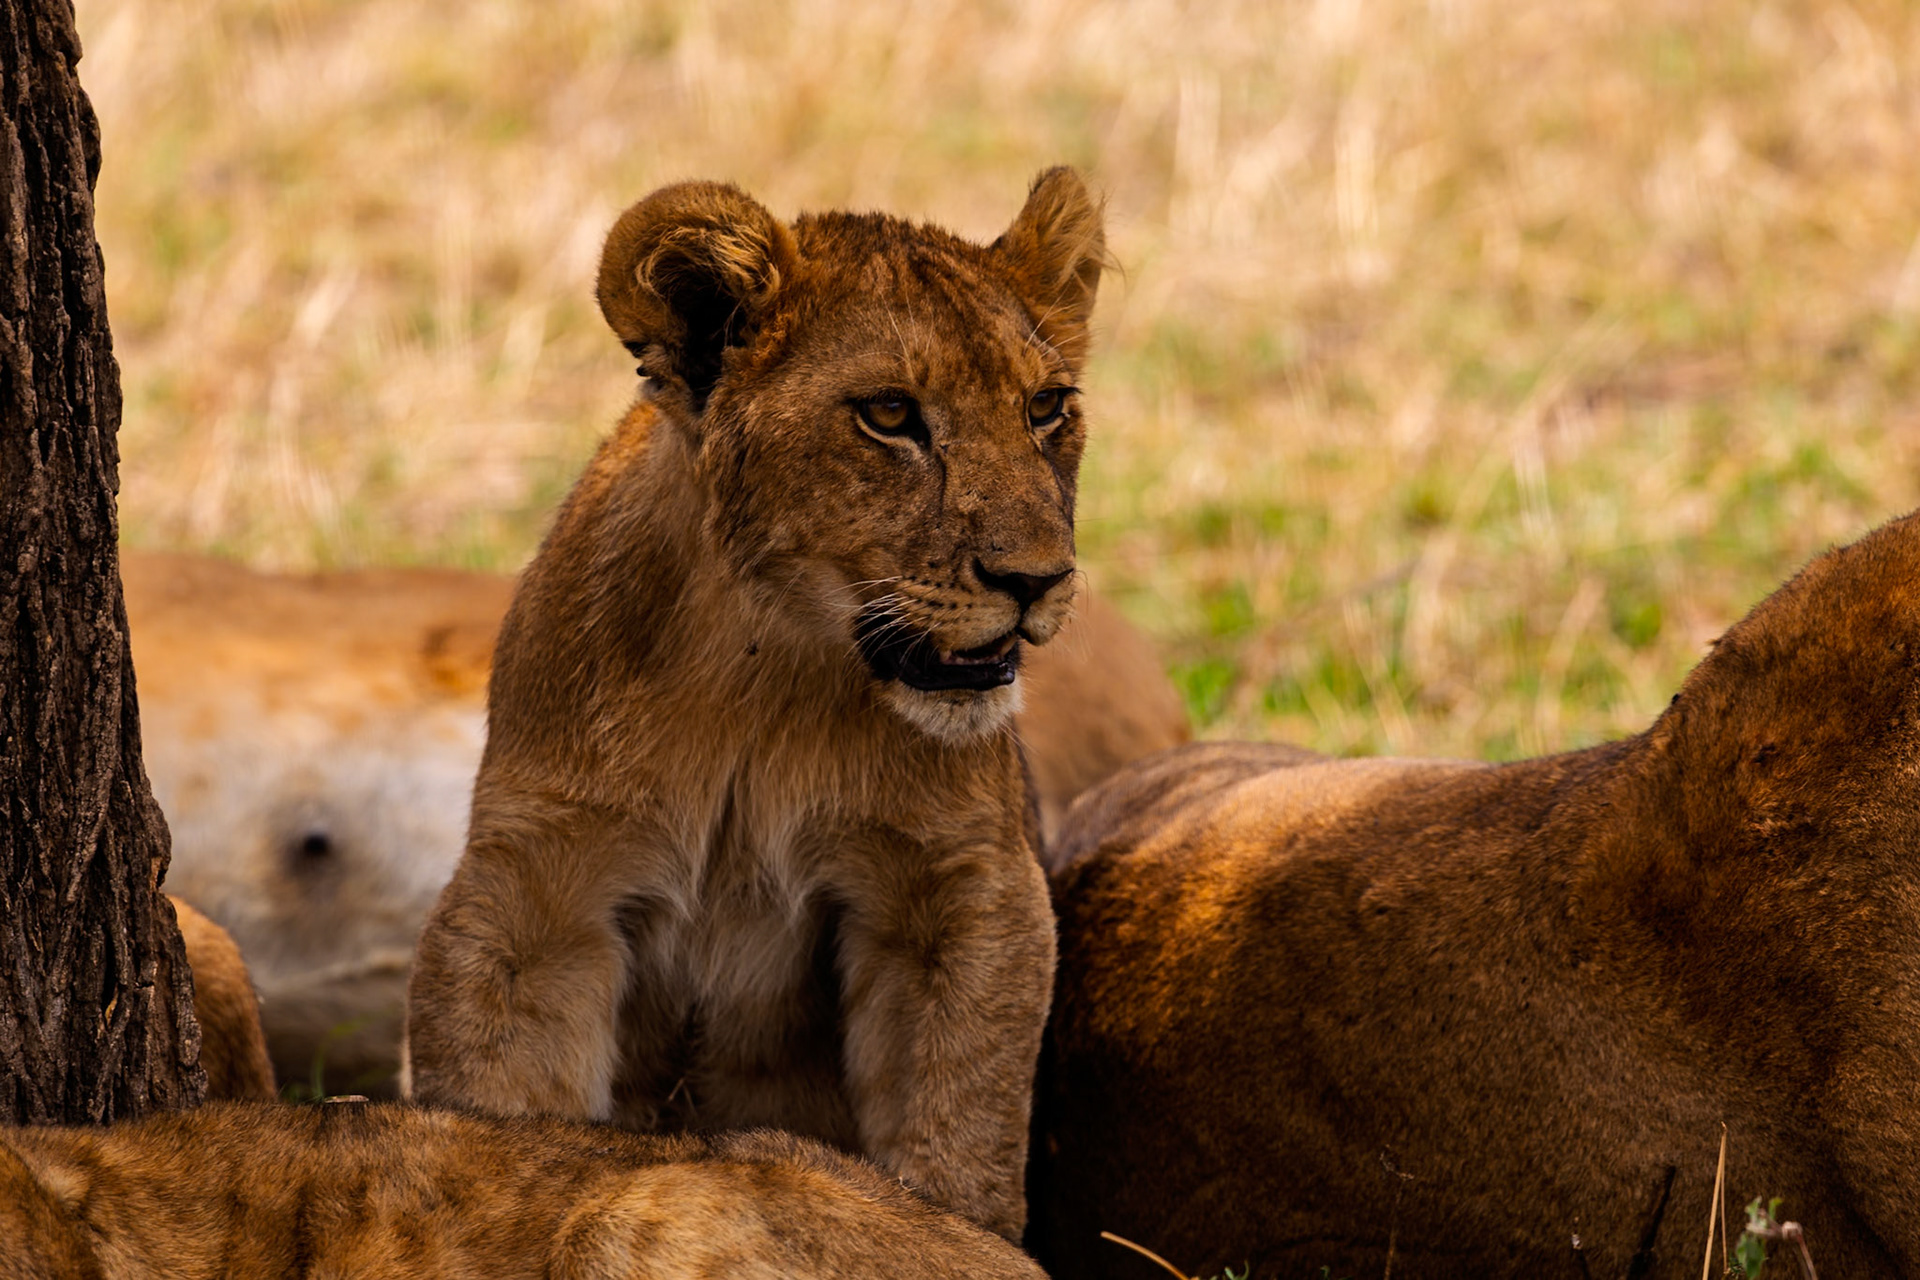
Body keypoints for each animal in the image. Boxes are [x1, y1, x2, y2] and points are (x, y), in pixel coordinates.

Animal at [404, 169, 1111, 1239]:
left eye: (1044, 407)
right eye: (891, 414)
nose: (1038, 580)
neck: (764, 674)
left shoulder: (965, 887)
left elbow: (960, 1134)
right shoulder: (535, 891)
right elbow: (502, 1103)